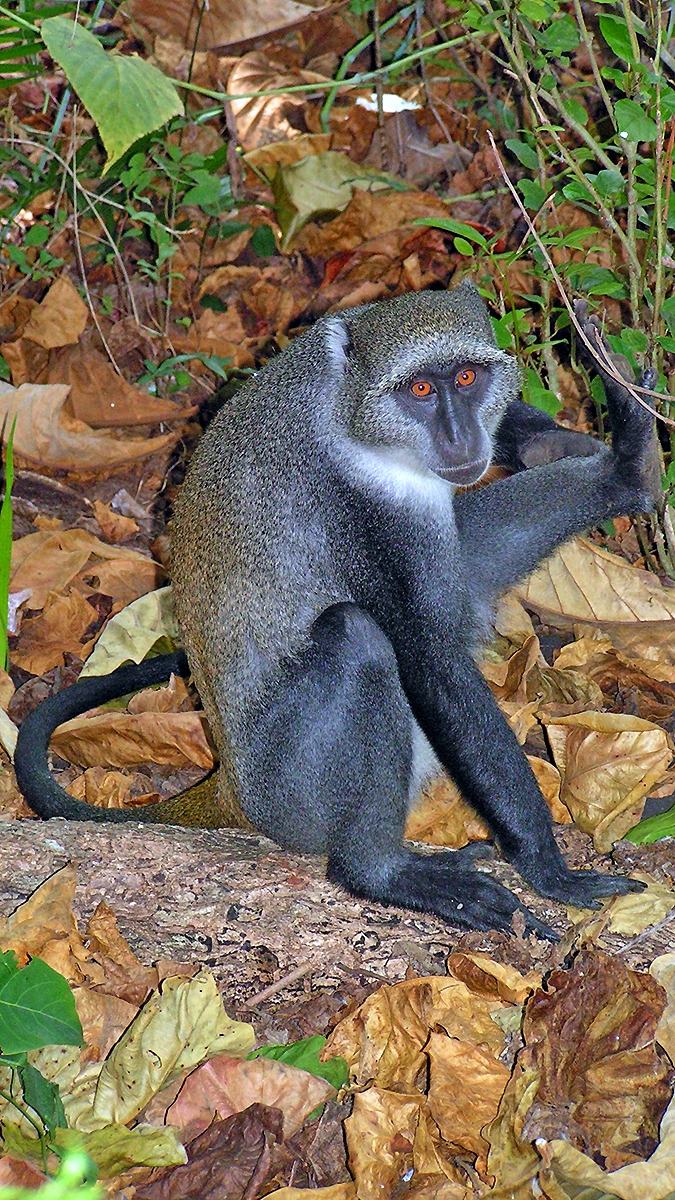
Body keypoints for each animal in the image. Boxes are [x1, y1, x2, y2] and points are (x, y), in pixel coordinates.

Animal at [14, 281, 653, 935]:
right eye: (420, 390)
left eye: (467, 377)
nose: (460, 437)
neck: (351, 413)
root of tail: (230, 791)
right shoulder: (354, 506)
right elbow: (432, 666)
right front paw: (549, 869)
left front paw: (551, 435)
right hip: (289, 792)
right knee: (358, 638)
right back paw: (379, 872)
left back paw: (628, 471)